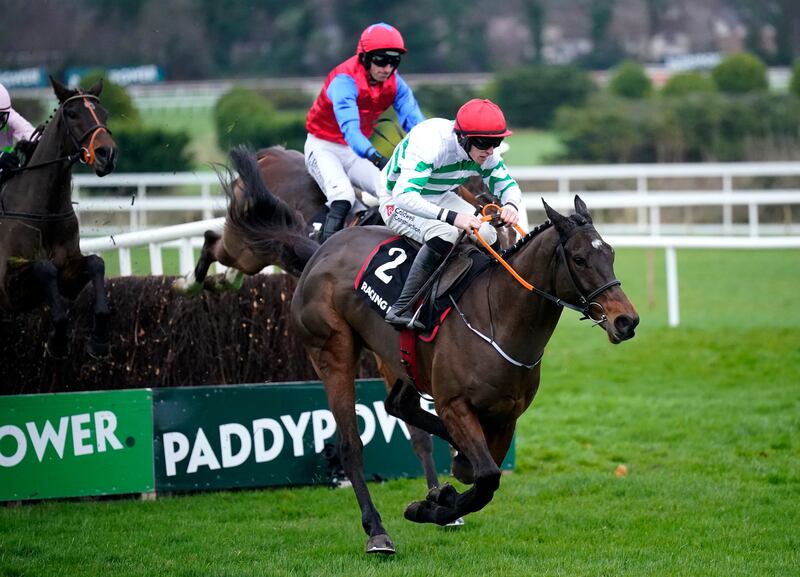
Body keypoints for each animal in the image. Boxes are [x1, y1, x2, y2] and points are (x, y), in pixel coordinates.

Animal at [0, 76, 117, 356]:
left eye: (104, 113)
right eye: (72, 114)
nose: (107, 154)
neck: (45, 212)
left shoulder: (69, 277)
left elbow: (96, 263)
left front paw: (99, 338)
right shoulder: (8, 289)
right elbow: (44, 266)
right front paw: (58, 339)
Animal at [222, 148, 640, 552]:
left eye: (611, 253)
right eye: (580, 259)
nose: (627, 321)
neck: (498, 318)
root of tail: (321, 248)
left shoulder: (507, 416)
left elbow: (485, 474)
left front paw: (439, 497)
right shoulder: (454, 403)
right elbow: (487, 478)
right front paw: (433, 506)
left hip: (400, 360)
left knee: (398, 406)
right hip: (332, 351)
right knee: (351, 445)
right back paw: (377, 532)